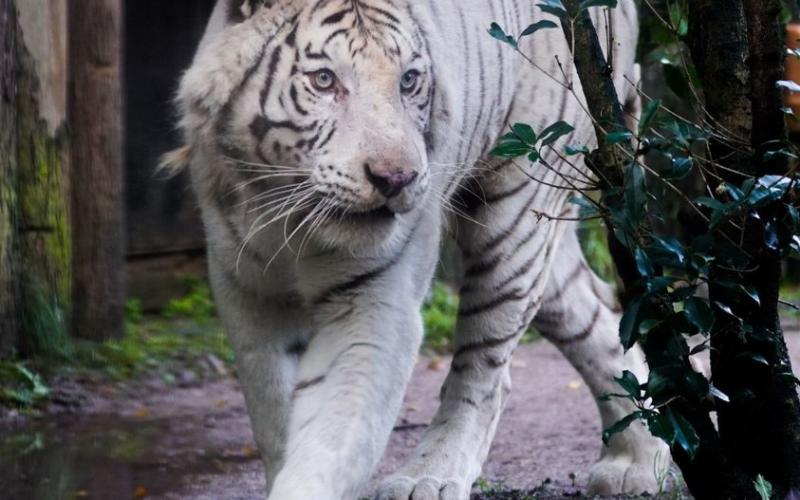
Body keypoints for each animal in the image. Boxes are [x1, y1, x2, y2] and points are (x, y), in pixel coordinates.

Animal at [171, 0, 670, 498]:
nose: (396, 178)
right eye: (324, 80)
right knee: (596, 317)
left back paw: (428, 477)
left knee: (485, 370)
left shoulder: (372, 304)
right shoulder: (249, 293)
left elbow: (333, 435)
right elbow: (274, 410)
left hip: (516, 209)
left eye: (408, 81)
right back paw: (638, 461)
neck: (293, 218)